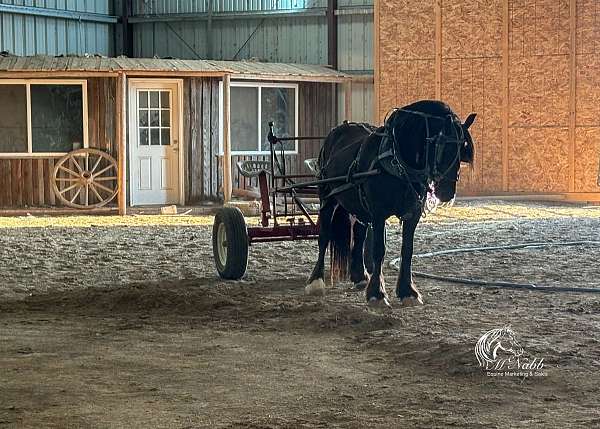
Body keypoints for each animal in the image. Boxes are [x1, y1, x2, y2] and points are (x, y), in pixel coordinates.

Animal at [308, 99, 476, 308]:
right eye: (441, 145)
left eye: (462, 148)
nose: (447, 193)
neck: (397, 162)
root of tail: (337, 130)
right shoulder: (379, 214)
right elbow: (379, 250)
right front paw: (377, 294)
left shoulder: (412, 214)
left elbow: (407, 250)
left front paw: (407, 291)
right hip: (327, 199)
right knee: (324, 235)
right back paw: (315, 281)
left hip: (359, 207)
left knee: (359, 236)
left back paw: (360, 276)